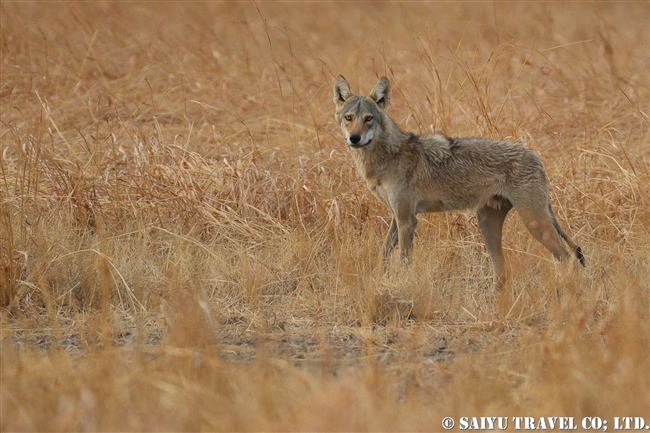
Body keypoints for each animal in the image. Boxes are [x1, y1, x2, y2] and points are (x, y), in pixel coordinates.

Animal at [334, 75, 584, 286]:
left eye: (368, 119)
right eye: (349, 118)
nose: (354, 138)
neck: (388, 156)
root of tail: (535, 156)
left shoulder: (407, 220)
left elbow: (404, 261)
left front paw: (403, 286)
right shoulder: (398, 216)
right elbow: (384, 254)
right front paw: (379, 279)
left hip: (534, 223)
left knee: (568, 258)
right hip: (487, 222)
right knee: (503, 271)